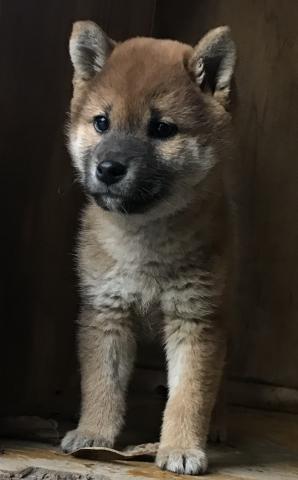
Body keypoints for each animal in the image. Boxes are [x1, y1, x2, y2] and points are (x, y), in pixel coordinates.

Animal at [61, 20, 236, 474]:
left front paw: (181, 447)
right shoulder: (106, 314)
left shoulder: (196, 320)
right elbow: (101, 385)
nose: (108, 168)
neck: (145, 242)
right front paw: (94, 433)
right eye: (101, 122)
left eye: (161, 129)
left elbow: (189, 396)